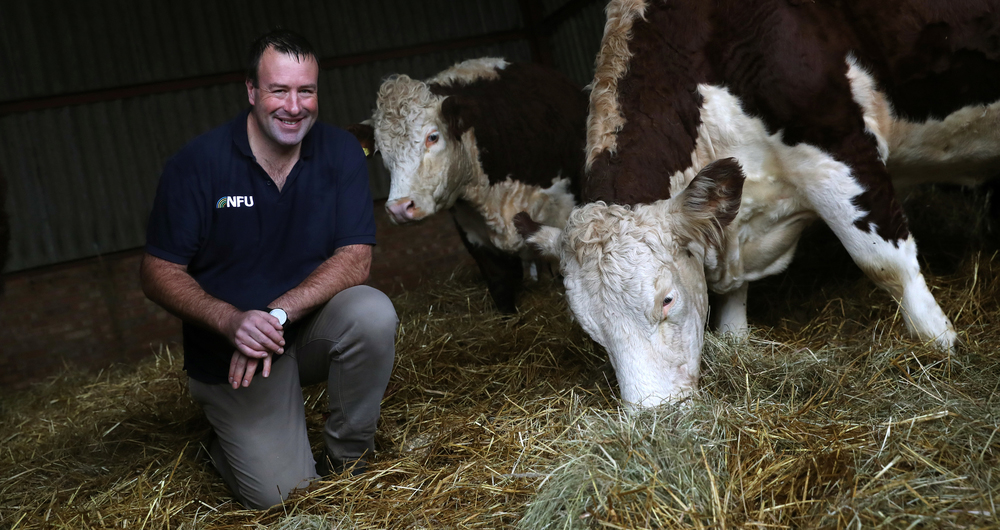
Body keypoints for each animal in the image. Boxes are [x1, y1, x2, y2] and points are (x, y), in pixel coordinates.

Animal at [516, 0, 1000, 406]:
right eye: (591, 329)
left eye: (667, 300)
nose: (656, 417)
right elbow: (732, 307)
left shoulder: (841, 149)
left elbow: (886, 263)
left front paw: (942, 346)